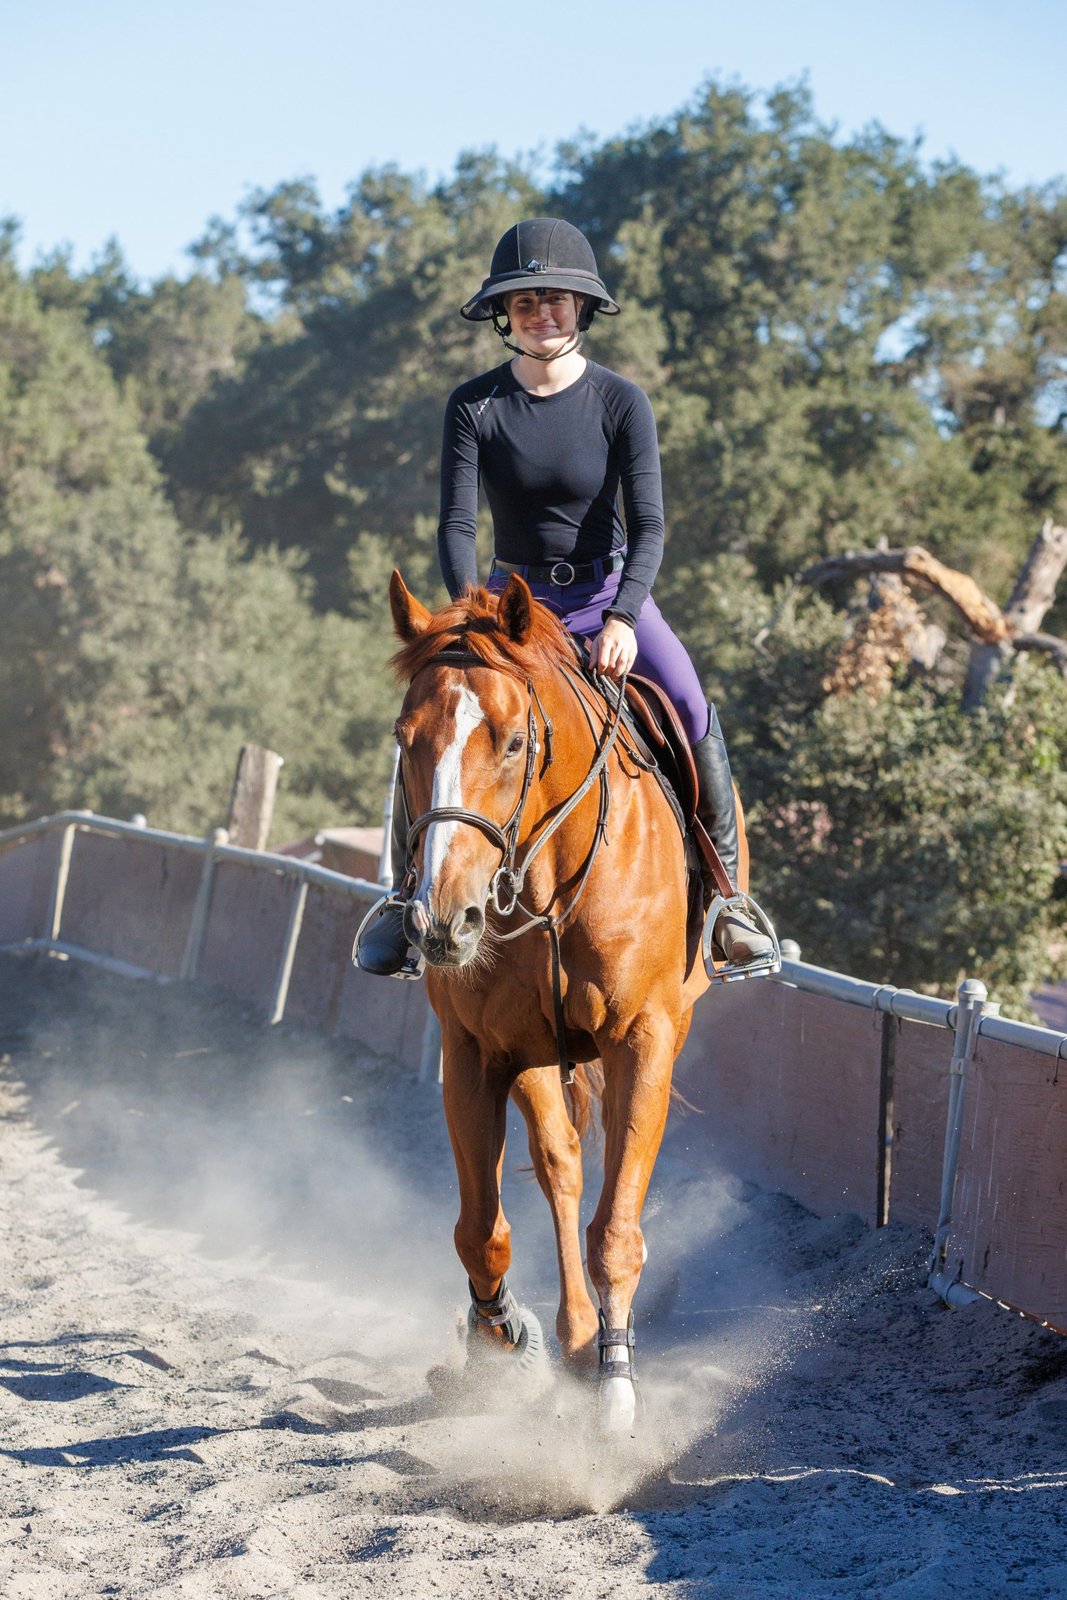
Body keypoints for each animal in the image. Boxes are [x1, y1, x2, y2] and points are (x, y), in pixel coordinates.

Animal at [383, 569, 751, 1432]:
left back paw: (597, 1347)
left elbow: (616, 1229)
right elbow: (481, 1229)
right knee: (561, 1168)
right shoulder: (477, 1054)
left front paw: (615, 1384)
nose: (442, 921)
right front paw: (501, 1337)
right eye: (405, 741)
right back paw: (570, 1332)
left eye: (513, 743)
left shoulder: (644, 1041)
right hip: (536, 1055)